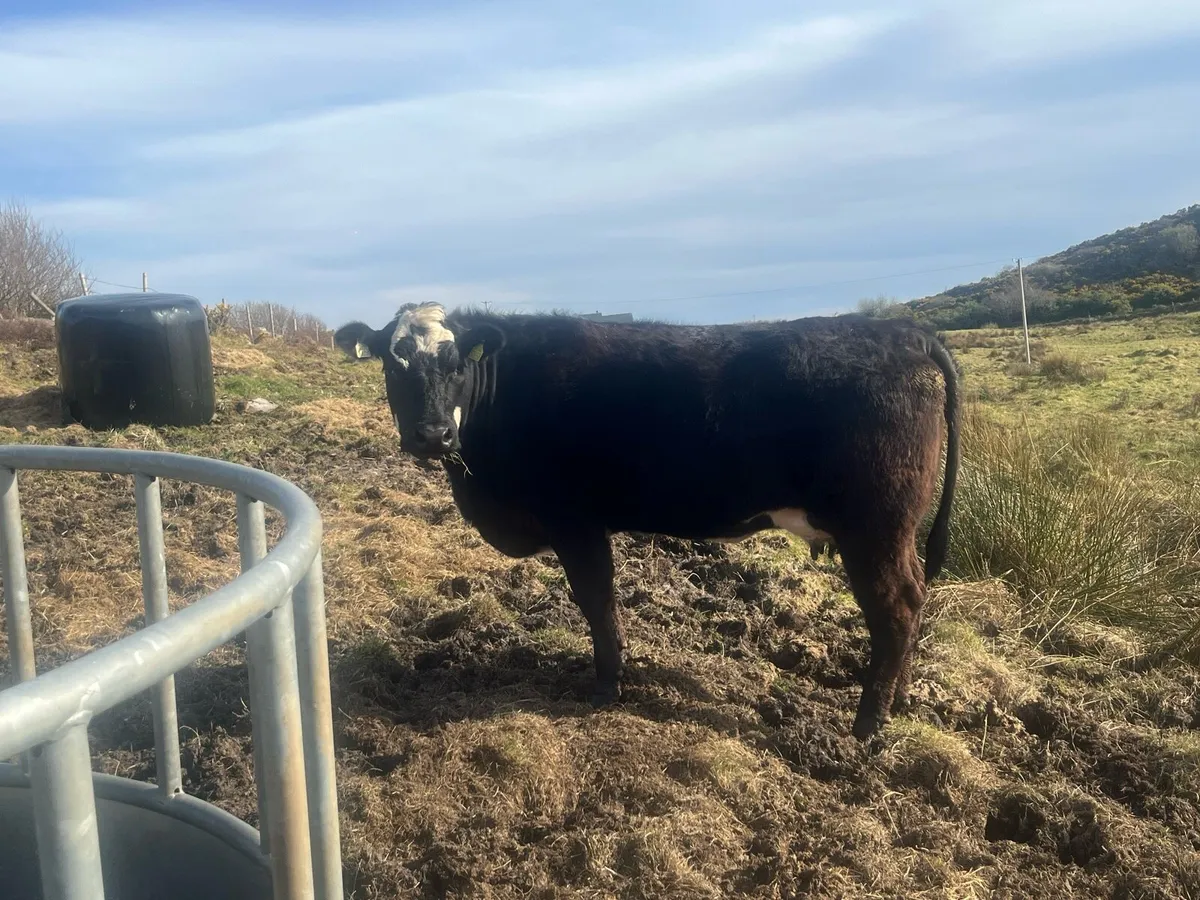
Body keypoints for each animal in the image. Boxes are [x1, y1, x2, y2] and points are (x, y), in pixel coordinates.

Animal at [334, 302, 960, 740]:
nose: (431, 434)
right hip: (892, 533)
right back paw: (897, 700)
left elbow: (596, 600)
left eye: (456, 362)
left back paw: (868, 723)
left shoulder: (574, 520)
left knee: (897, 608)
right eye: (393, 363)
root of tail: (901, 331)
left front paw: (607, 685)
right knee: (914, 599)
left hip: (876, 529)